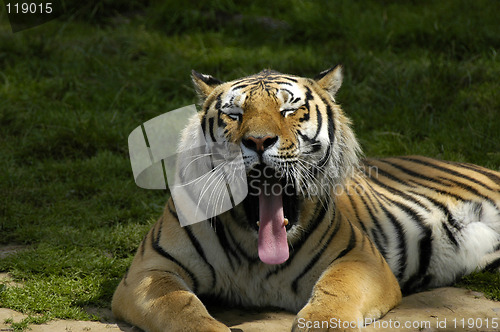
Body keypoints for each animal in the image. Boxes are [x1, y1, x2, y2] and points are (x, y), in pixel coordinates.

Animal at [112, 67, 500, 332]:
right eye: (235, 114)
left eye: (288, 111)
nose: (257, 141)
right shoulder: (151, 269)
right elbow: (180, 306)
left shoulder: (361, 259)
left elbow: (335, 294)